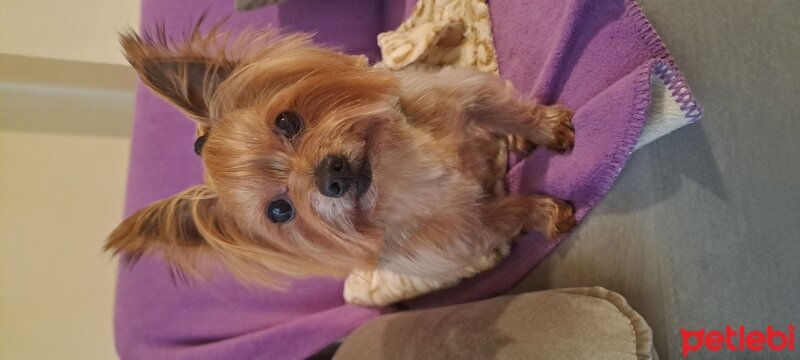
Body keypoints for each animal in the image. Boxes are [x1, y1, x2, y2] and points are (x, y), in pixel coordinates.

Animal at [106, 24, 576, 306]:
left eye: (288, 121)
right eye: (280, 211)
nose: (329, 175)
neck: (397, 169)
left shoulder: (466, 95)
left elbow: (508, 110)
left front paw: (547, 128)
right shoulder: (468, 234)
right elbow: (508, 213)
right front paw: (545, 211)